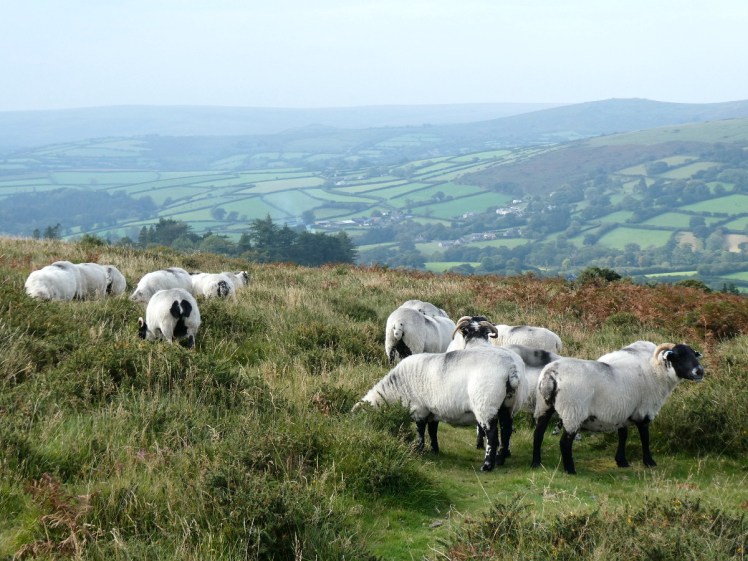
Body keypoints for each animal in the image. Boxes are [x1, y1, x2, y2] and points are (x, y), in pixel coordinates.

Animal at [354, 346, 527, 471]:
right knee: (506, 431)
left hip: (485, 403)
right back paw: (500, 460)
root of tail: (511, 368)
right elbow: (432, 430)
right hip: (508, 405)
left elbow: (420, 431)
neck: (394, 390)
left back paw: (487, 465)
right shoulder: (432, 411)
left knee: (492, 435)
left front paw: (419, 450)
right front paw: (434, 450)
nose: (365, 435)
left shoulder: (419, 408)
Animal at [531, 340, 705, 474]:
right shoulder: (644, 410)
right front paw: (649, 462)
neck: (656, 371)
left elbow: (623, 435)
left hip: (544, 406)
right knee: (565, 443)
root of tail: (551, 375)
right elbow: (645, 437)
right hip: (572, 411)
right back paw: (570, 470)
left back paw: (536, 463)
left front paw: (622, 461)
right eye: (678, 356)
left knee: (538, 434)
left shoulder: (622, 411)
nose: (700, 371)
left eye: (693, 355)